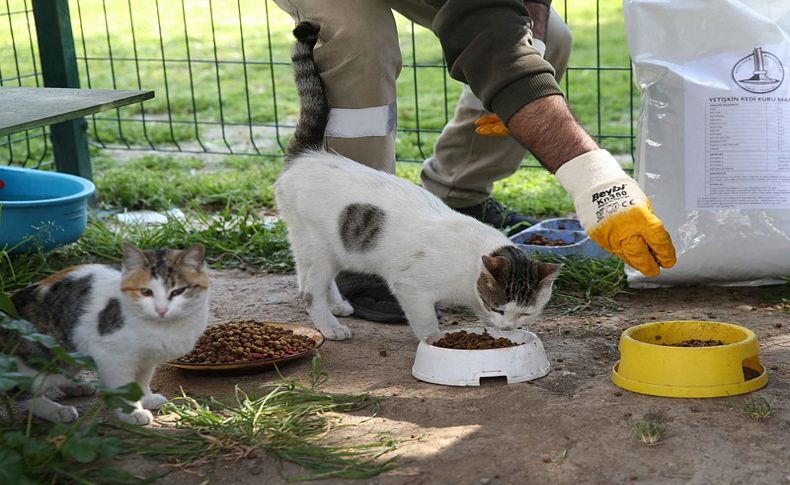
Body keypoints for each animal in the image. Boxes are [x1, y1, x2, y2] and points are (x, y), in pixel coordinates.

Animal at [4, 244, 209, 422]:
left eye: (178, 291)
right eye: (146, 292)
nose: (161, 310)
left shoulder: (146, 359)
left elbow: (142, 380)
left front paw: (146, 398)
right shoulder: (113, 357)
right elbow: (124, 386)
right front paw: (132, 412)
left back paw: (76, 386)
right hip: (38, 356)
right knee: (21, 390)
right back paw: (56, 411)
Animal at [276, 22, 564, 340]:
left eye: (526, 313)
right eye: (498, 309)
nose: (508, 326)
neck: (470, 272)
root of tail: (308, 153)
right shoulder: (411, 287)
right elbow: (425, 322)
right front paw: (436, 341)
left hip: (327, 248)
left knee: (310, 277)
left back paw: (338, 305)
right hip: (317, 244)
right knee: (308, 291)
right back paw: (330, 326)